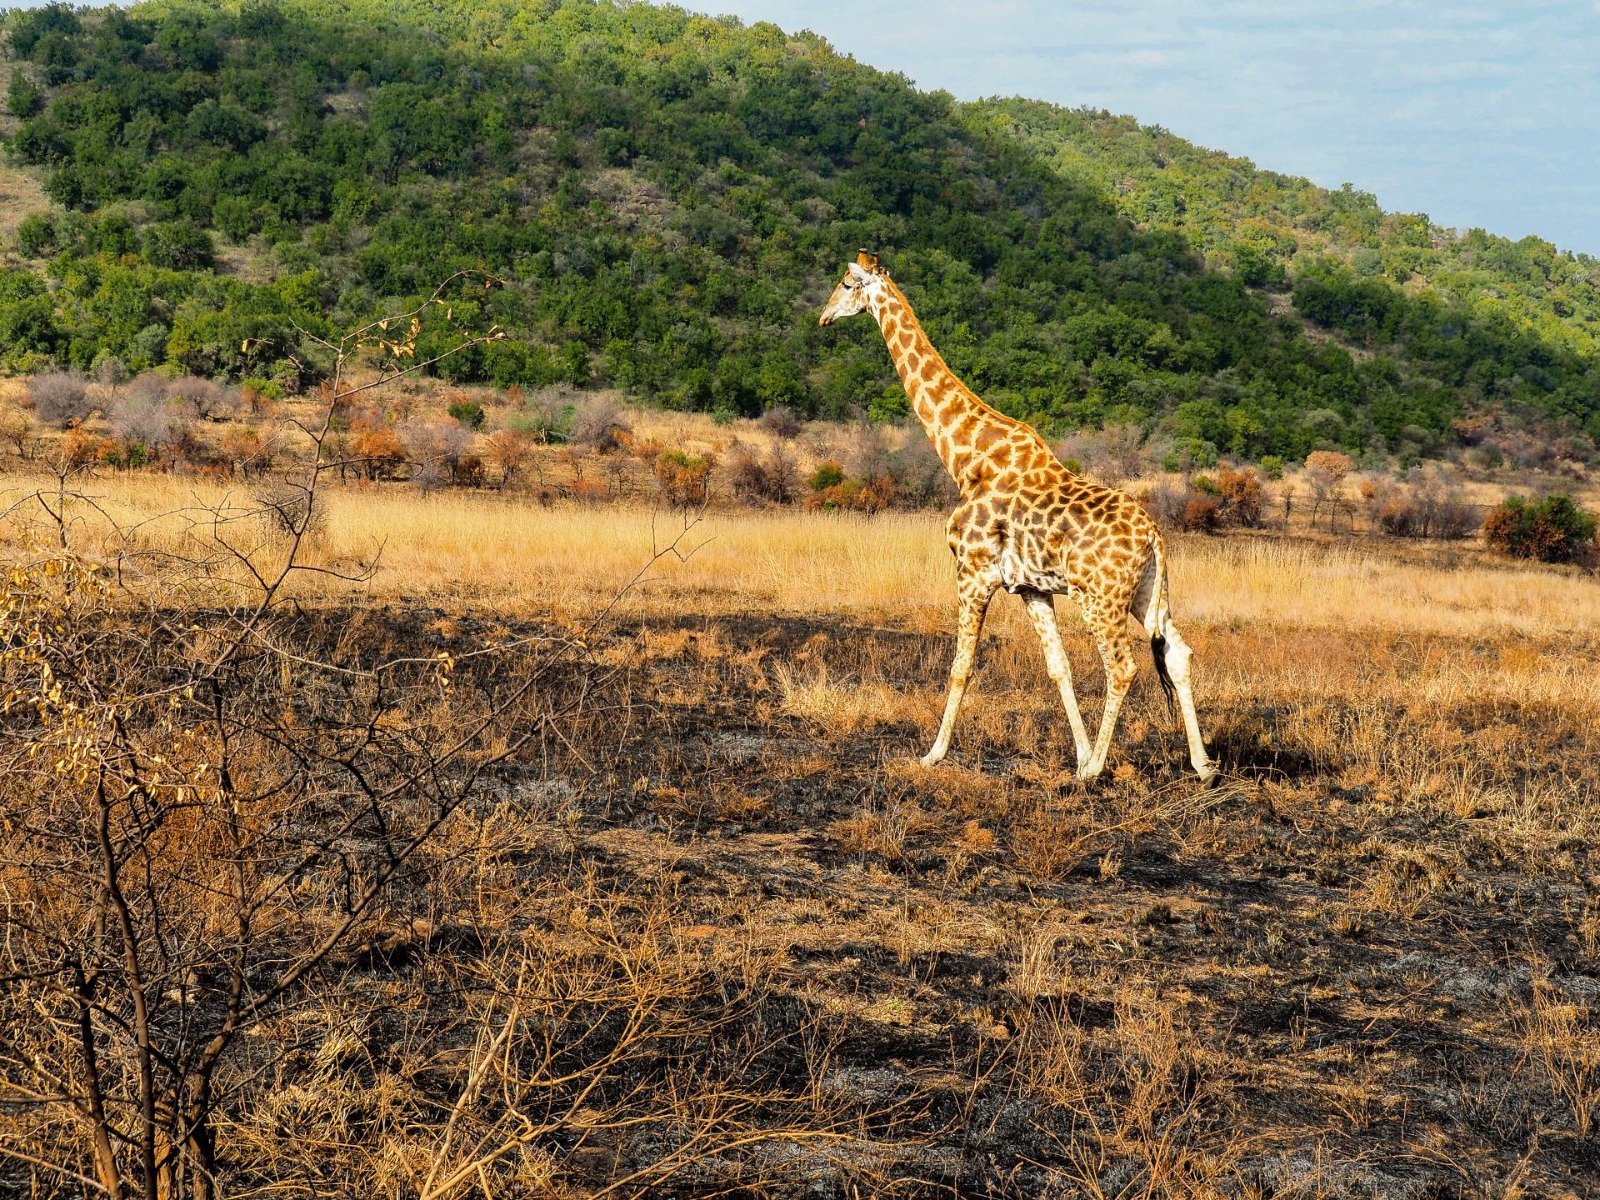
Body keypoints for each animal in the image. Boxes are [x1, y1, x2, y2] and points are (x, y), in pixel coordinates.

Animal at [818, 251, 1217, 782]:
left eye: (846, 284)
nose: (823, 317)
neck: (965, 457)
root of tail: (1154, 536)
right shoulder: (1030, 587)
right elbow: (1058, 668)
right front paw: (1080, 751)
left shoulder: (972, 572)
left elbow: (962, 665)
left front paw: (933, 754)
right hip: (1147, 593)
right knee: (1177, 654)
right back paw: (1202, 765)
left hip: (1099, 597)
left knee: (1122, 667)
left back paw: (1096, 771)